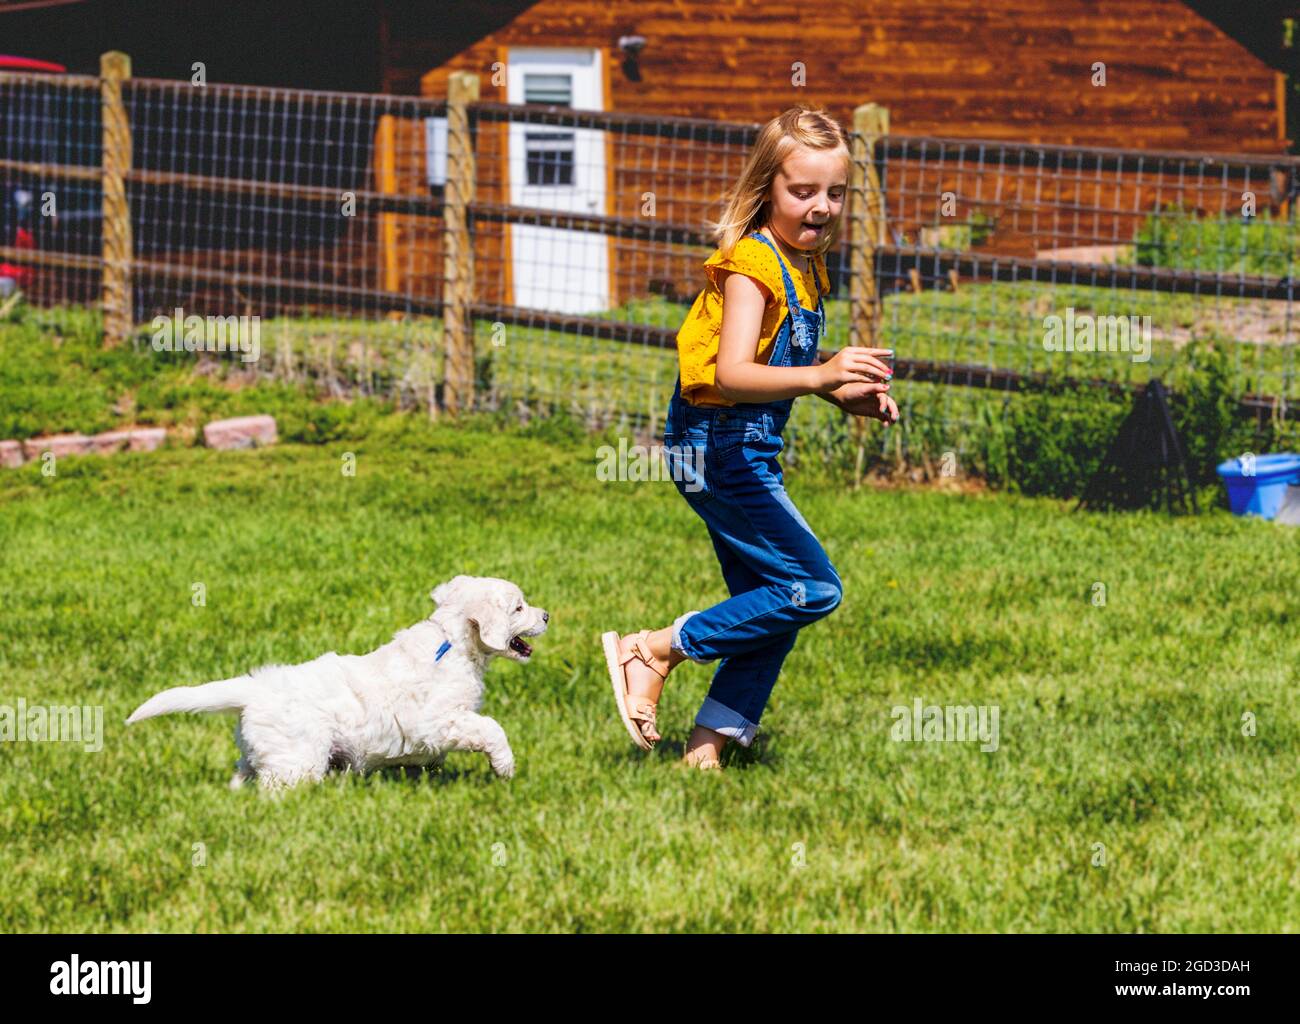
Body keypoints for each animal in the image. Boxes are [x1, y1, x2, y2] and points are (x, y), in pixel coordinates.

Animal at [124, 576, 546, 790]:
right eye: (519, 607)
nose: (547, 615)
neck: (453, 642)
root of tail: (254, 688)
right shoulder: (439, 720)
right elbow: (490, 728)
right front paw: (505, 767)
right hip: (297, 757)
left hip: (257, 751)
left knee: (241, 778)